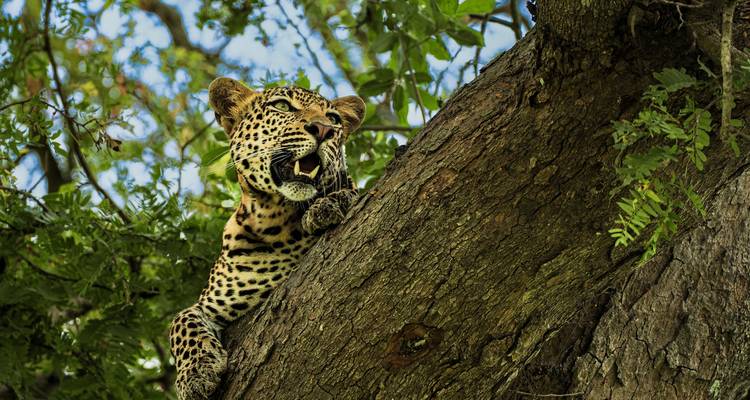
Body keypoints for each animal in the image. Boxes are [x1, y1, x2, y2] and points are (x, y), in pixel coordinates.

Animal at [169, 77, 365, 400]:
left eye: (334, 119)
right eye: (282, 106)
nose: (323, 129)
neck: (275, 217)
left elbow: (352, 190)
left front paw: (328, 204)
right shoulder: (211, 303)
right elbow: (181, 320)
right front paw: (196, 373)